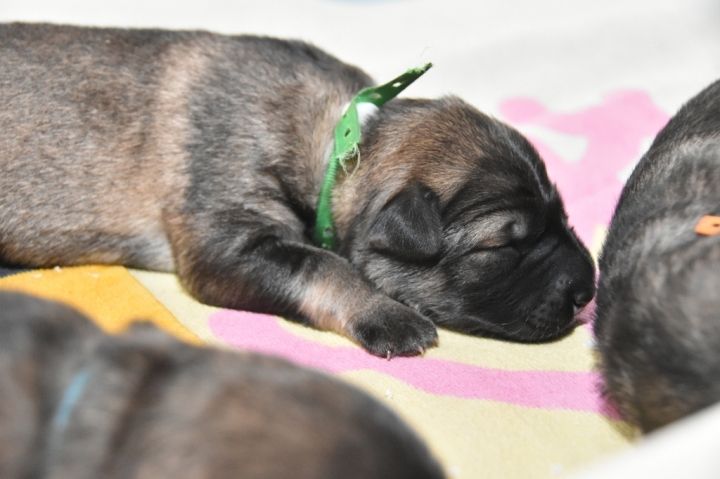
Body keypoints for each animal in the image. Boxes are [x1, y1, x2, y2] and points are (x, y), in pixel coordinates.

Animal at [0, 23, 595, 357]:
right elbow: (324, 265)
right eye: (505, 245)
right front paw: (388, 315)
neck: (345, 141)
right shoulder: (227, 235)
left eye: (564, 216)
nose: (587, 290)